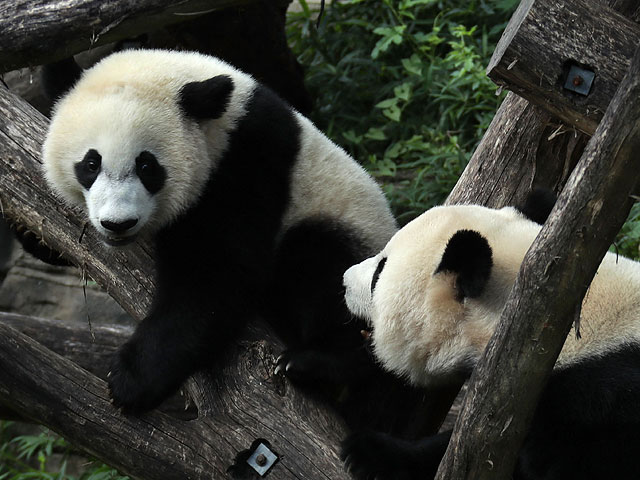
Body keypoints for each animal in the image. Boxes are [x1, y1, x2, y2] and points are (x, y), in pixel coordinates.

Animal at [38, 48, 400, 414]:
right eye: (91, 164)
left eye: (147, 166)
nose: (118, 223)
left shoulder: (246, 161)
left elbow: (214, 275)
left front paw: (131, 380)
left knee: (322, 264)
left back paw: (315, 362)